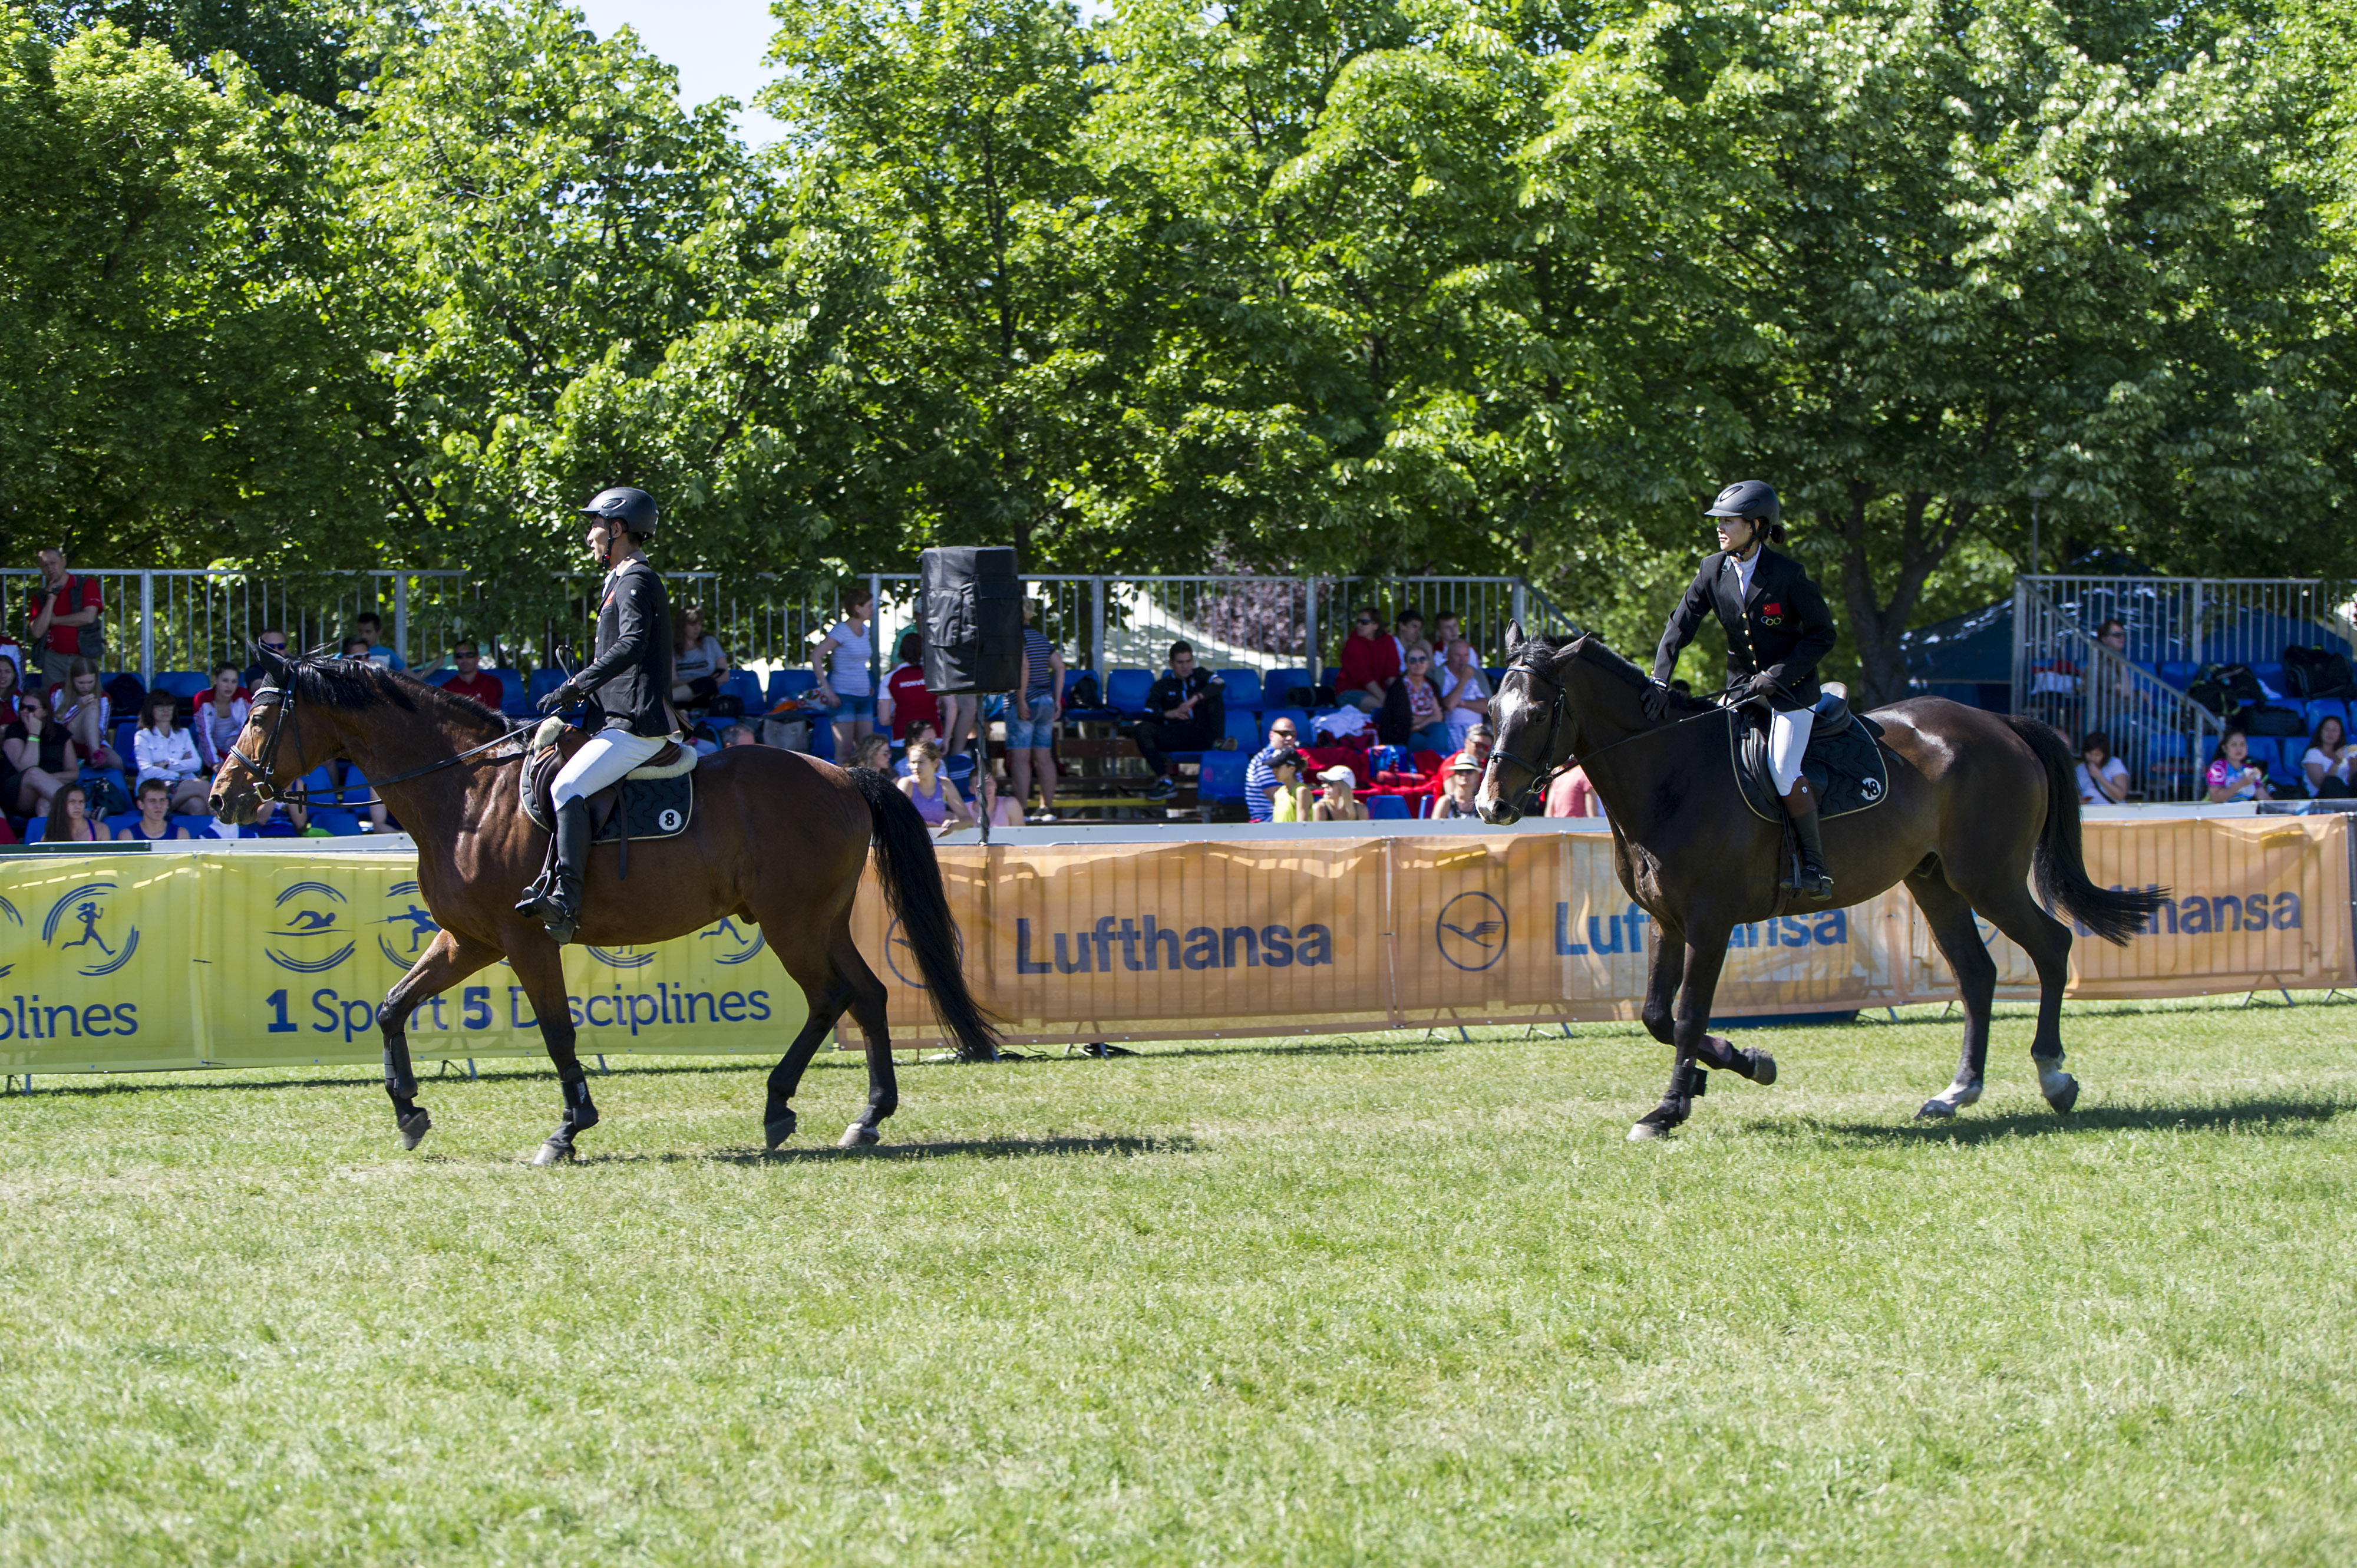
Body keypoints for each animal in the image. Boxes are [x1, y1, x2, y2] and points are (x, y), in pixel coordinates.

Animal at [207, 641, 999, 1160]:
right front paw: (409, 1112)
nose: (222, 797)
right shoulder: (469, 940)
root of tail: (844, 776)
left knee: (832, 997)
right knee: (867, 995)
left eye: (260, 717)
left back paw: (784, 1106)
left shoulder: (524, 940)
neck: (466, 791)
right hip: (819, 920)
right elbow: (392, 1006)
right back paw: (866, 1117)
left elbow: (558, 1032)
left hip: (792, 922)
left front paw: (568, 1129)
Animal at [1471, 622, 2168, 1136]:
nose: (1490, 806)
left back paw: (2054, 1076)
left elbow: (1689, 1015)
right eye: (1492, 709)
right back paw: (1956, 1092)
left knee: (2051, 946)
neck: (1671, 773)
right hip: (1935, 881)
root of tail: (2001, 724)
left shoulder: (1709, 920)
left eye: (1539, 712)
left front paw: (1669, 1109)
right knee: (1977, 973)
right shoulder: (1666, 920)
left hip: (1988, 878)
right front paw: (1743, 1064)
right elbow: (1655, 1015)